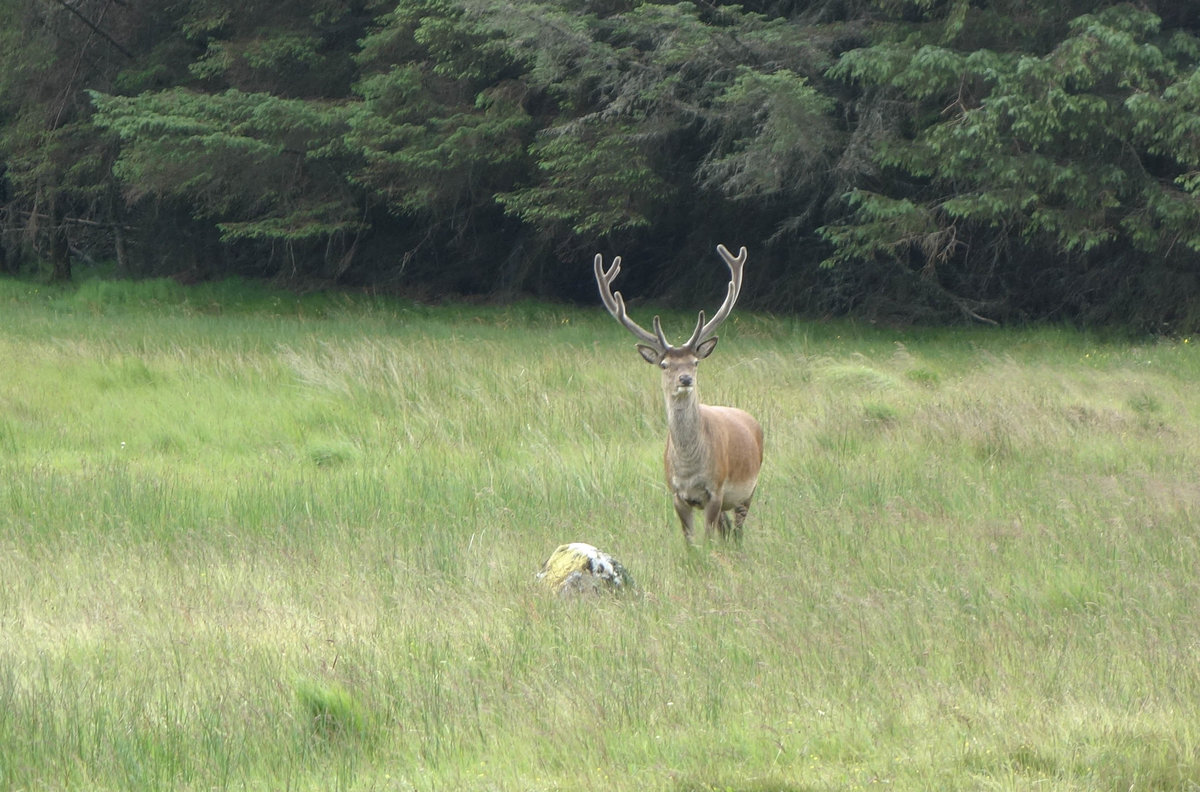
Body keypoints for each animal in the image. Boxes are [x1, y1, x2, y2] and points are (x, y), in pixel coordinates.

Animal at [595, 244, 764, 544]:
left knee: (738, 531)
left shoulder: (715, 490)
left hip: (748, 490)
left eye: (694, 362)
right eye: (665, 364)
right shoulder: (676, 494)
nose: (685, 378)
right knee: (728, 532)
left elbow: (707, 541)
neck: (689, 470)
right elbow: (690, 543)